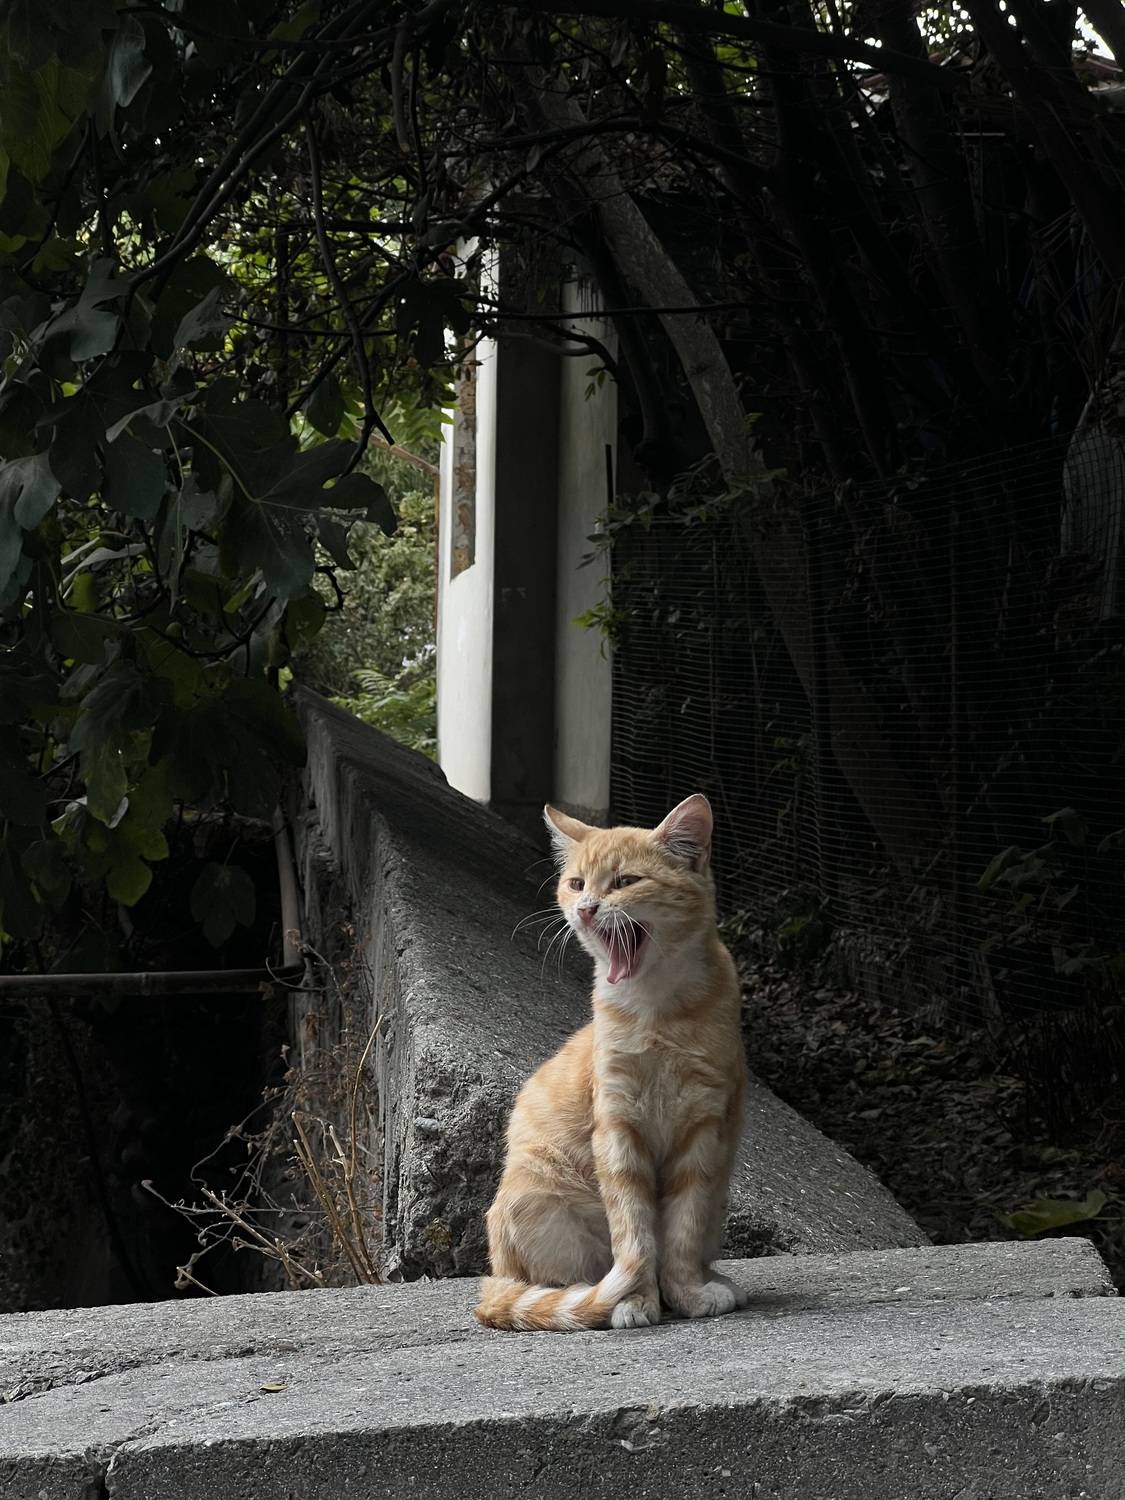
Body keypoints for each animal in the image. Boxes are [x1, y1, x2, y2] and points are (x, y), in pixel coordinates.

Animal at [475, 793, 748, 1332]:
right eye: (577, 883)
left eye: (624, 882)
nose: (585, 909)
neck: (657, 1011)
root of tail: (496, 1275)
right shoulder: (618, 1126)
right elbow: (632, 1230)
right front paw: (636, 1299)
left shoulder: (703, 1129)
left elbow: (682, 1231)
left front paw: (686, 1292)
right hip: (535, 1196)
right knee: (559, 1285)